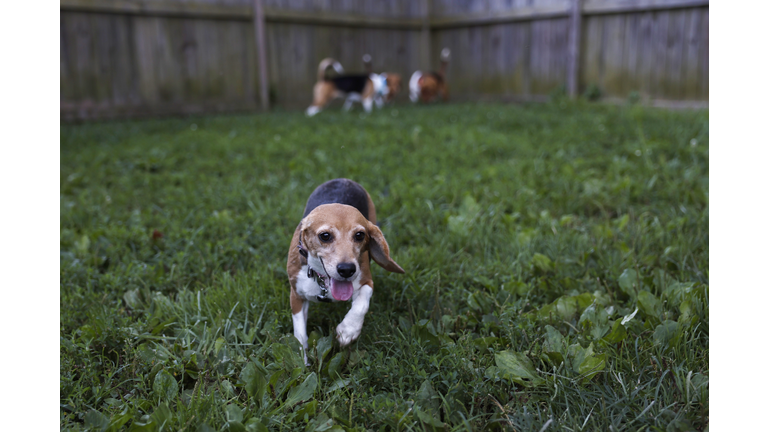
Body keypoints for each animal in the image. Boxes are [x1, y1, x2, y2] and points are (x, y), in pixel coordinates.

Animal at [286, 179, 404, 362]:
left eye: (360, 235)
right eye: (325, 236)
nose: (347, 269)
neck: (324, 281)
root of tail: (343, 180)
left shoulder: (366, 280)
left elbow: (361, 303)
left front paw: (347, 330)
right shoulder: (297, 295)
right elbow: (300, 335)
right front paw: (303, 361)